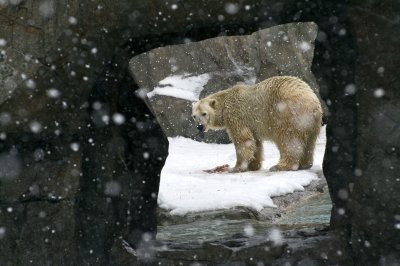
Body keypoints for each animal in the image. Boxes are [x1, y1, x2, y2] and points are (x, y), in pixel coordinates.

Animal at [192, 76, 324, 172]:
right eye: (194, 116)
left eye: (204, 113)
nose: (199, 126)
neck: (225, 102)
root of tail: (311, 100)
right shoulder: (251, 124)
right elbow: (255, 142)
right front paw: (253, 165)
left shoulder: (236, 115)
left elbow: (243, 140)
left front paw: (237, 167)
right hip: (313, 121)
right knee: (310, 141)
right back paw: (305, 164)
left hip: (286, 113)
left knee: (287, 139)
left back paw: (281, 166)